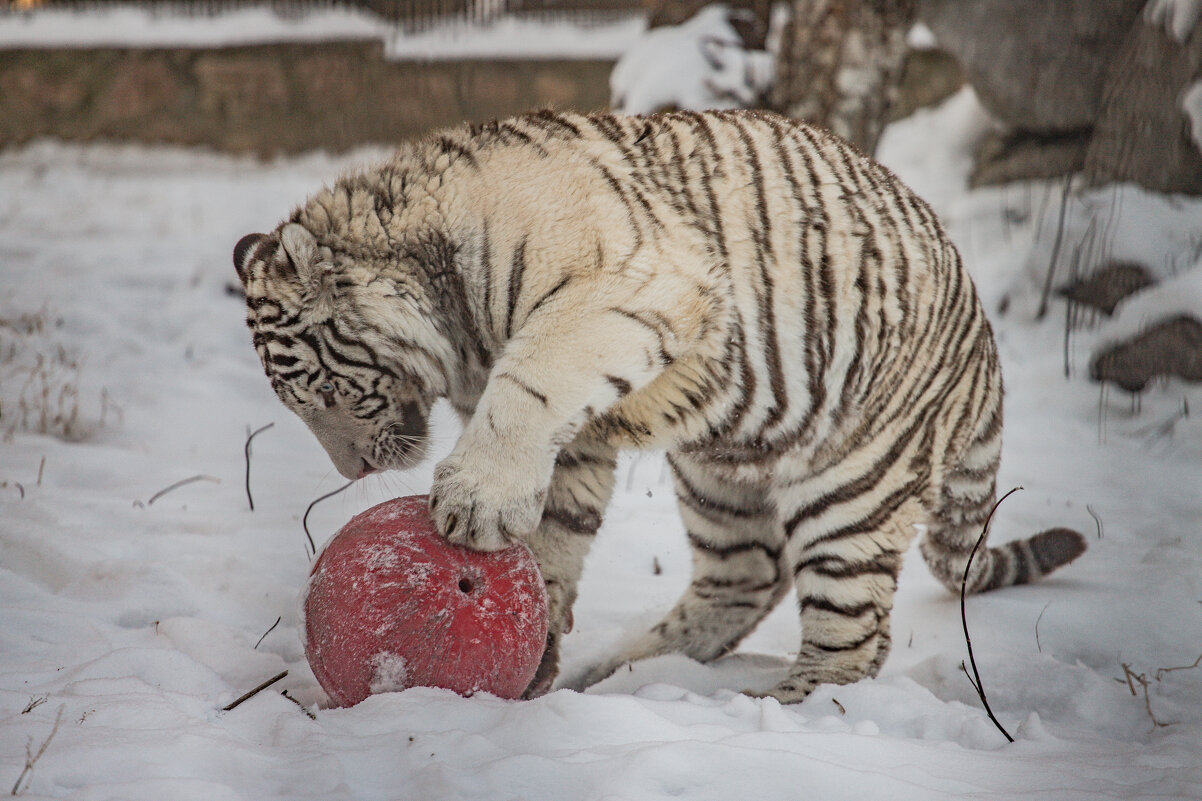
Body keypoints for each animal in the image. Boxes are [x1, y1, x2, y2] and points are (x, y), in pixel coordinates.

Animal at [229, 107, 1086, 697]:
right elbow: (556, 519)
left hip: (853, 482)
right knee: (746, 579)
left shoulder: (618, 294)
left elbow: (525, 386)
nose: (351, 468)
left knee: (853, 639)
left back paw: (781, 706)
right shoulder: (579, 431)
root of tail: (984, 346)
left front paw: (473, 505)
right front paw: (537, 637)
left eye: (319, 390)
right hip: (722, 474)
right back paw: (623, 667)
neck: (461, 333)